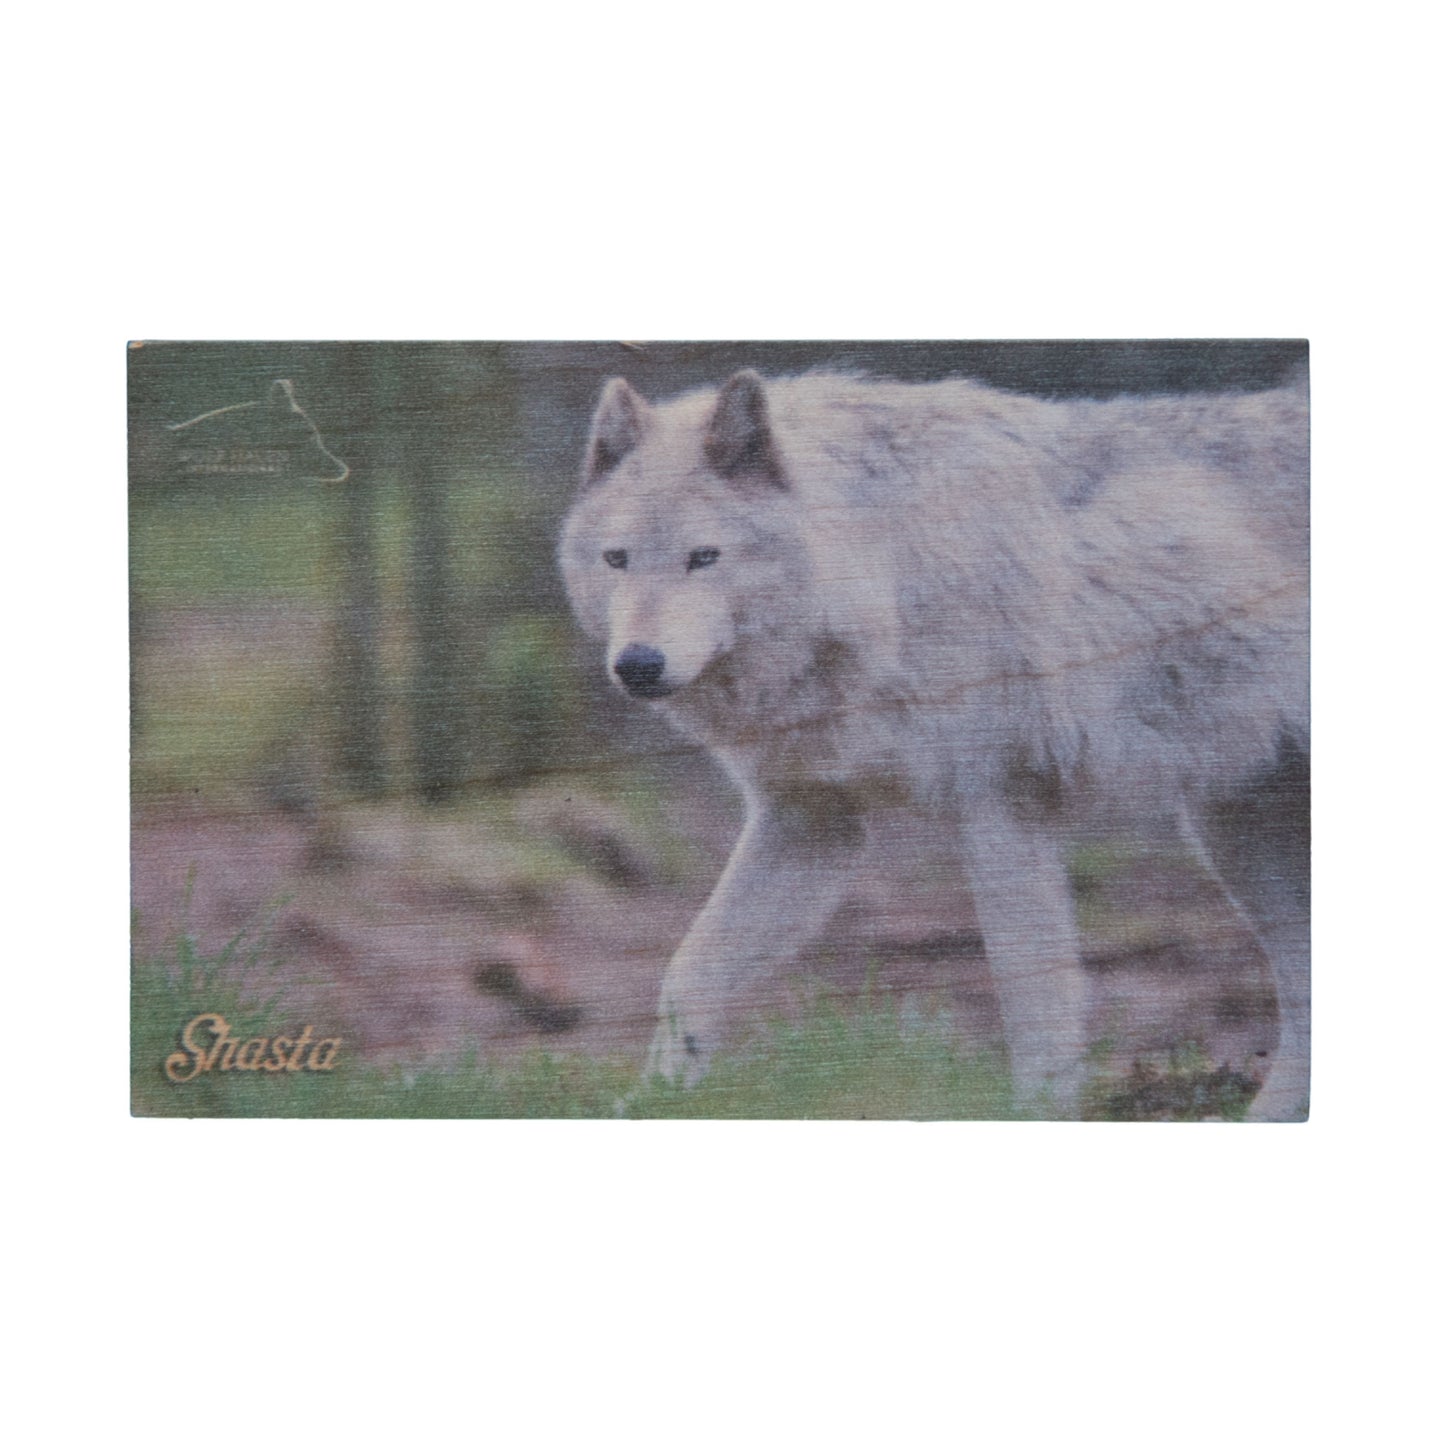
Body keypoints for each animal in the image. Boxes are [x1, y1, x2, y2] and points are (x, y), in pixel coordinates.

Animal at [558, 366, 1309, 1119]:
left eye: (703, 557)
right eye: (617, 559)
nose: (637, 665)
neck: (884, 570)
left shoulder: (997, 810)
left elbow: (1032, 1005)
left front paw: (1039, 1113)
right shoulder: (809, 822)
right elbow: (688, 976)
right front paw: (654, 1103)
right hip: (1234, 835)